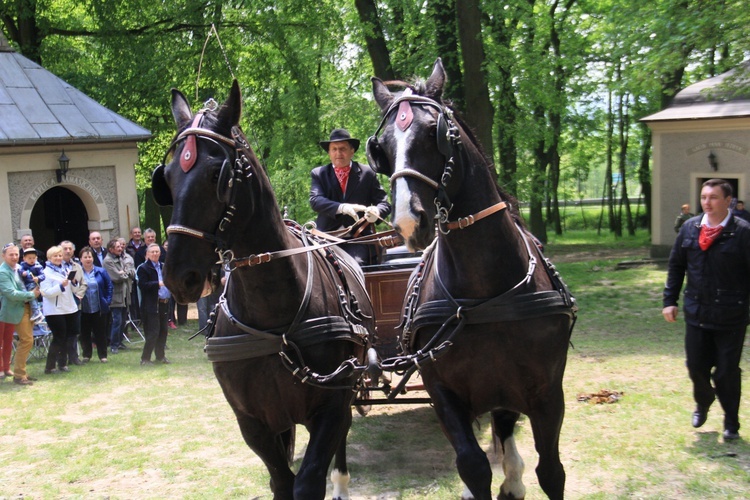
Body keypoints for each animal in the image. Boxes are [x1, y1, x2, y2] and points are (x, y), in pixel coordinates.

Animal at [151, 80, 374, 498]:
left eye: (217, 174)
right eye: (167, 178)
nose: (178, 276)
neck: (273, 312)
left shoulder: (332, 404)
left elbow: (308, 480)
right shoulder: (252, 420)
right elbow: (281, 481)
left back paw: (341, 481)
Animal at [368, 59, 580, 500]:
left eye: (436, 134)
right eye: (382, 149)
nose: (408, 222)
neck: (485, 296)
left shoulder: (548, 392)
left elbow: (552, 472)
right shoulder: (443, 391)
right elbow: (473, 467)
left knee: (506, 426)